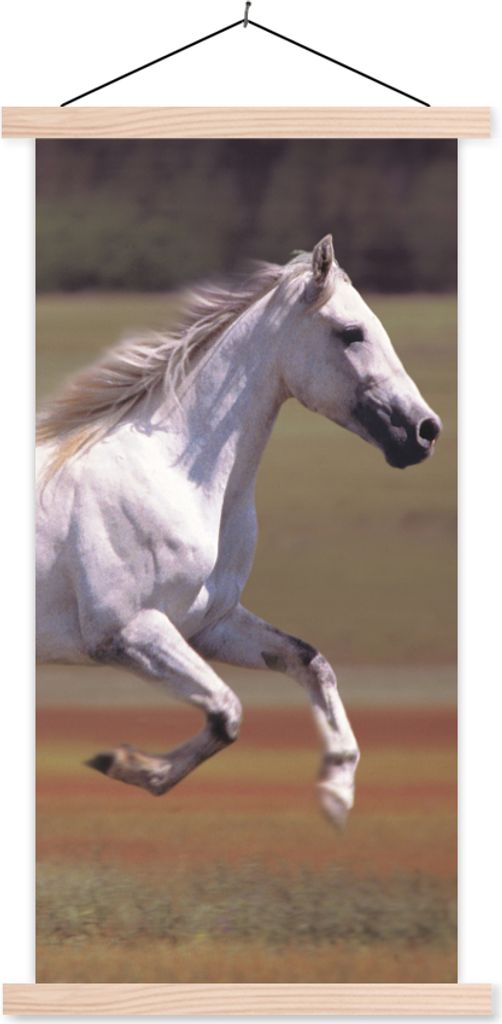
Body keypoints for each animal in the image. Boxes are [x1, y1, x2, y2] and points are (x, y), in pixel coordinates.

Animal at [36, 234, 441, 826]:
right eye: (351, 332)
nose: (425, 431)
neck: (175, 474)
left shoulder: (212, 623)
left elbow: (311, 663)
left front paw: (337, 790)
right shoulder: (130, 632)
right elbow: (227, 711)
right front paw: (125, 764)